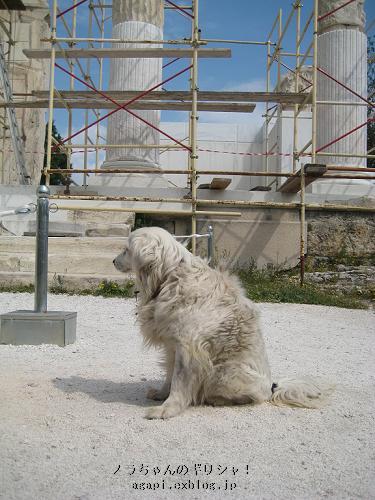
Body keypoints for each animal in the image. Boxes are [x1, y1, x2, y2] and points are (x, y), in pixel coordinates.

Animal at [114, 227, 332, 418]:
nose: (114, 261)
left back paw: (218, 399)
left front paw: (168, 409)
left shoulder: (189, 350)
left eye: (126, 249)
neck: (171, 275)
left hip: (222, 372)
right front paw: (161, 394)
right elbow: (169, 375)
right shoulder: (172, 346)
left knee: (253, 397)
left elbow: (179, 382)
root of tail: (272, 386)